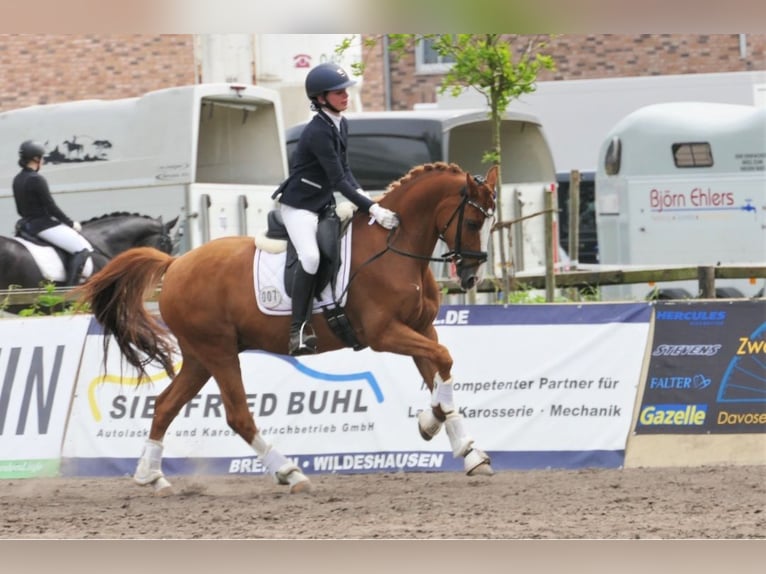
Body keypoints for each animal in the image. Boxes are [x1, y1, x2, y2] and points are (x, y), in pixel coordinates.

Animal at [76, 162, 498, 496]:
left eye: (491, 223)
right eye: (473, 221)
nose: (471, 276)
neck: (394, 245)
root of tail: (175, 264)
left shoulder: (421, 328)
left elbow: (439, 371)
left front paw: (464, 448)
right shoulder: (384, 334)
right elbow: (443, 361)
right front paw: (434, 425)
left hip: (199, 358)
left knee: (165, 406)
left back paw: (151, 476)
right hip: (219, 352)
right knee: (238, 416)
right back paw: (289, 472)